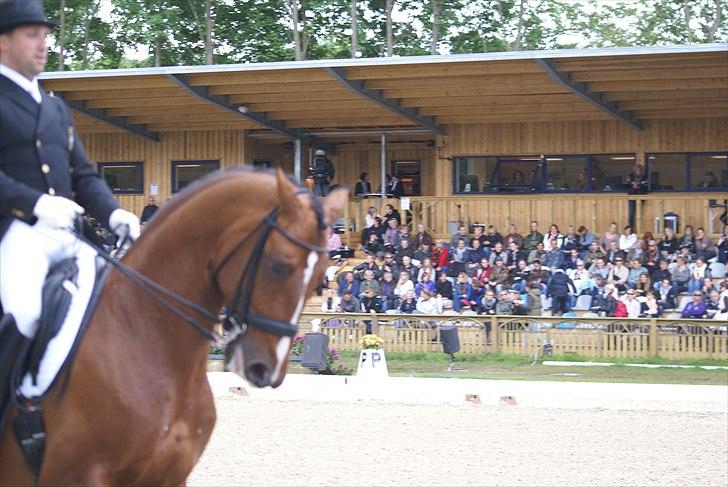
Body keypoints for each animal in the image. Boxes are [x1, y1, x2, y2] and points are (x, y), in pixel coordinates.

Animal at [0, 168, 346, 484]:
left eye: (321, 276)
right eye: (278, 266)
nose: (266, 370)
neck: (140, 331)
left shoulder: (172, 474)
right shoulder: (81, 475)